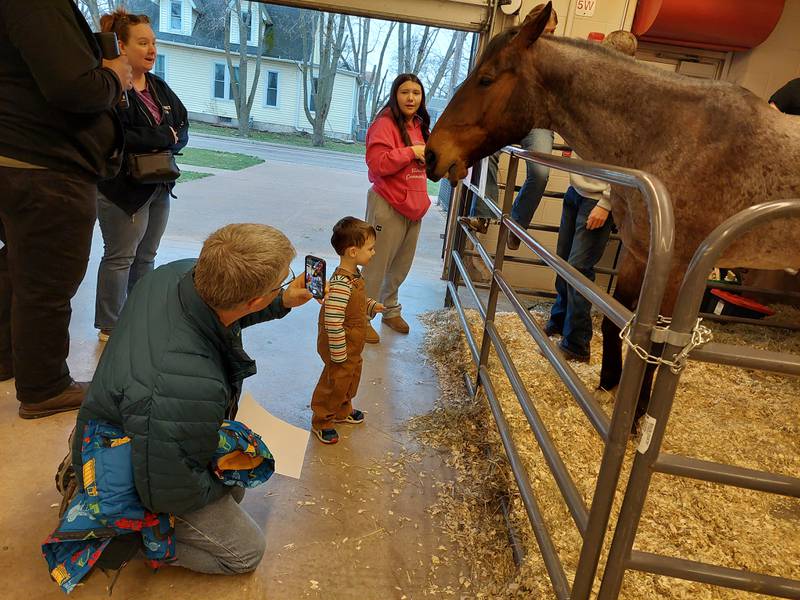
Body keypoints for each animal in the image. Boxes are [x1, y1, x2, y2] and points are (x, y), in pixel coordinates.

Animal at [428, 2, 800, 420]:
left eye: (487, 79)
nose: (432, 154)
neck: (672, 135)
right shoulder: (640, 255)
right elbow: (612, 320)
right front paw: (609, 383)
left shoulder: (677, 270)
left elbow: (658, 347)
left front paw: (639, 416)